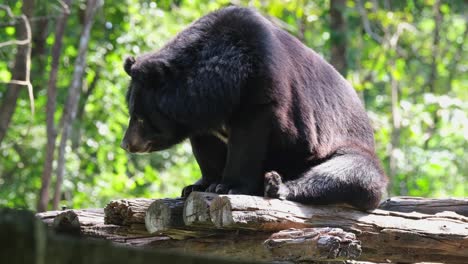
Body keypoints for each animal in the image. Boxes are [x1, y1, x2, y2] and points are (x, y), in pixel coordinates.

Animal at [120, 5, 388, 210]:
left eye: (140, 118)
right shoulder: (202, 119)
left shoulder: (261, 91)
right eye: (133, 114)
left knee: (349, 173)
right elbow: (207, 150)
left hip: (343, 149)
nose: (127, 144)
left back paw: (276, 186)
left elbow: (248, 141)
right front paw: (199, 185)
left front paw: (228, 186)